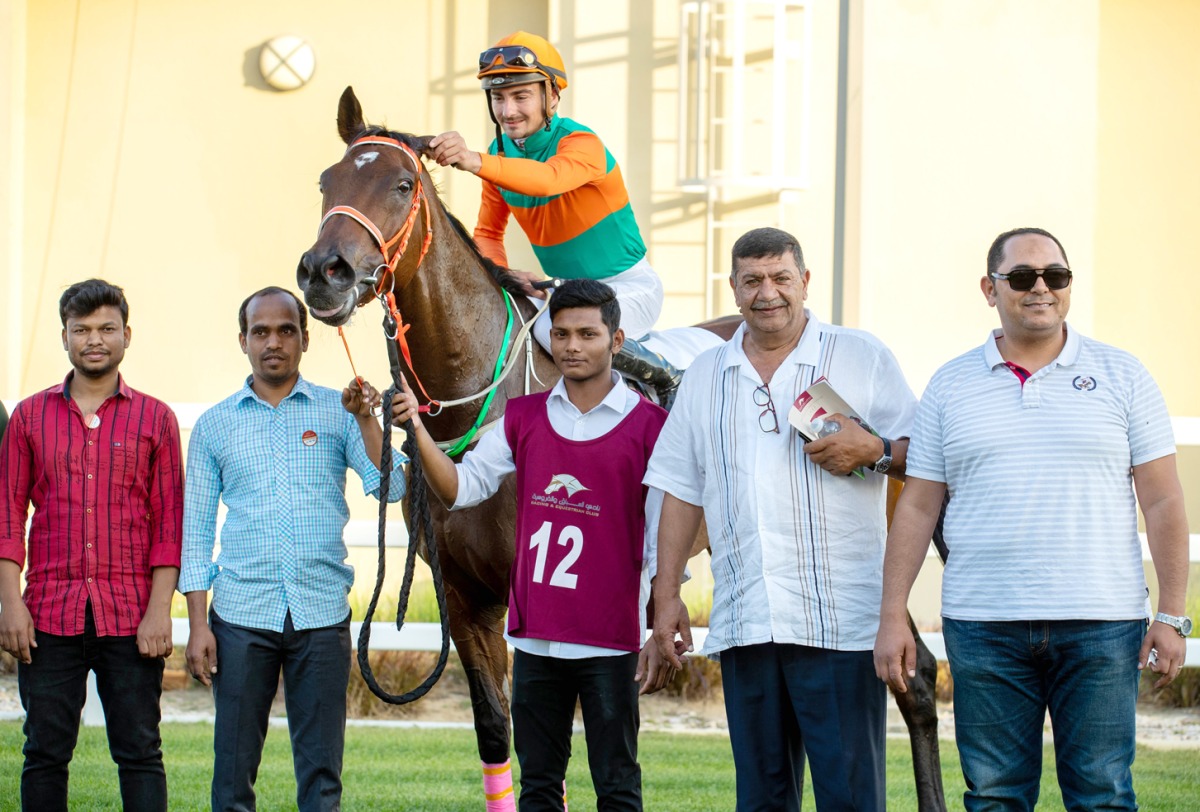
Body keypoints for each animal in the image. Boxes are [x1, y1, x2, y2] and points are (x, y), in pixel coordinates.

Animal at [292, 85, 945, 806]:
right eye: (326, 182)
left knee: (910, 677)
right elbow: (498, 729)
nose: (323, 271)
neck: (476, 406)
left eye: (403, 183)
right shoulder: (464, 599)